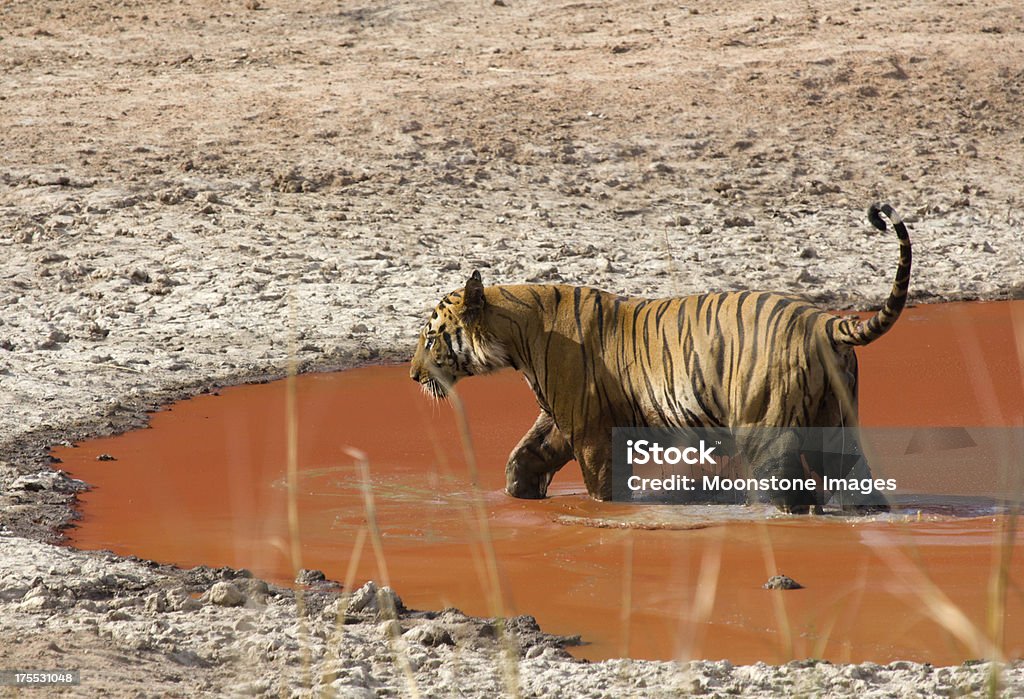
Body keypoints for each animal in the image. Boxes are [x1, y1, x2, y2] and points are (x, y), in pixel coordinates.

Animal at [407, 202, 913, 513]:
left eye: (430, 338)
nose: (412, 376)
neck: (517, 335)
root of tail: (822, 320)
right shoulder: (559, 419)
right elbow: (524, 456)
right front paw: (522, 493)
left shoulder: (591, 430)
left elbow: (602, 486)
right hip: (840, 426)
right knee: (858, 482)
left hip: (766, 429)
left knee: (791, 493)